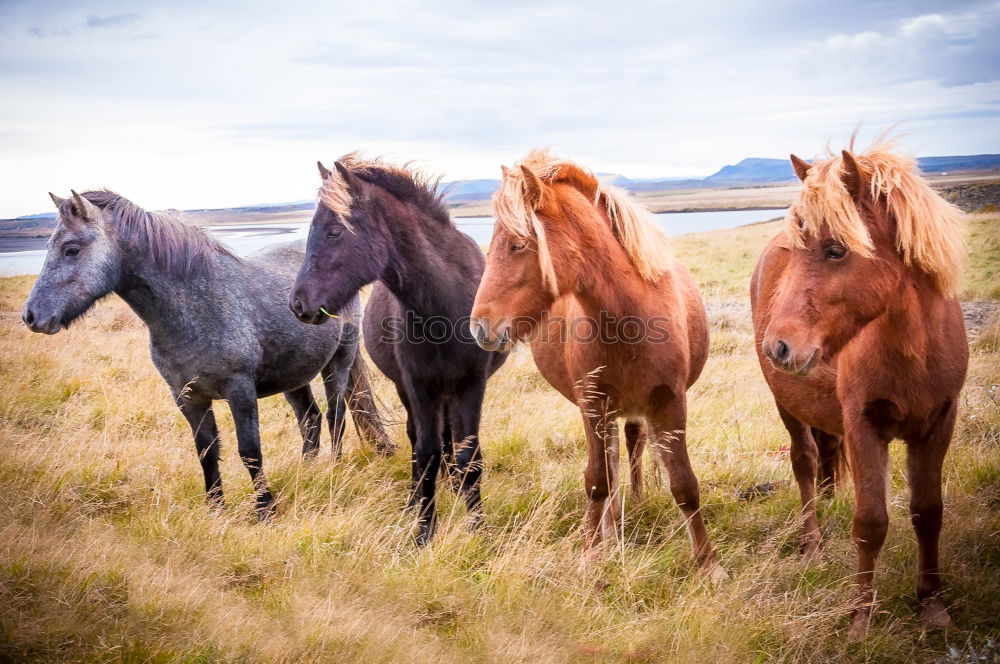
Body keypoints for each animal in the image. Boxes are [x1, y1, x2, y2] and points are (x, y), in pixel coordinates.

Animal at [23, 189, 390, 516]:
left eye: (71, 249)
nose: (31, 316)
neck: (193, 306)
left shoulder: (240, 391)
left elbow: (250, 452)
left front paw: (265, 510)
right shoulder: (188, 397)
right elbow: (206, 452)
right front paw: (216, 510)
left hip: (338, 362)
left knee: (335, 414)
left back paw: (334, 468)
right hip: (294, 374)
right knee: (310, 419)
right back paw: (307, 471)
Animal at [472, 148, 724, 580]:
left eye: (519, 244)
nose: (480, 327)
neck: (632, 317)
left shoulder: (671, 403)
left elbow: (684, 484)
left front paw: (709, 564)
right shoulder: (593, 403)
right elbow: (598, 480)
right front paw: (591, 553)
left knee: (633, 445)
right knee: (610, 462)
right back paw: (610, 527)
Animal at [752, 139, 968, 632]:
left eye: (836, 251)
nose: (778, 347)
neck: (913, 352)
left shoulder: (938, 425)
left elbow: (929, 513)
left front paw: (933, 605)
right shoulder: (865, 426)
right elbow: (870, 523)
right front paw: (861, 620)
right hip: (788, 408)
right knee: (805, 462)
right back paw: (812, 545)